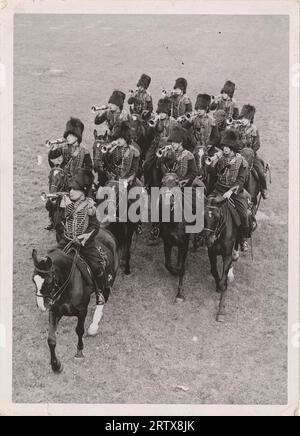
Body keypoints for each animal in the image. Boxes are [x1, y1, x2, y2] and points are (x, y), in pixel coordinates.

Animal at [31, 227, 118, 372]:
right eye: (33, 280)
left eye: (48, 280)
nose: (42, 305)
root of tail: (105, 231)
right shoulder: (54, 311)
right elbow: (51, 339)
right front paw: (56, 365)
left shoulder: (82, 311)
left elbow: (79, 330)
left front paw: (79, 352)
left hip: (107, 281)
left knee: (102, 299)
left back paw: (94, 326)